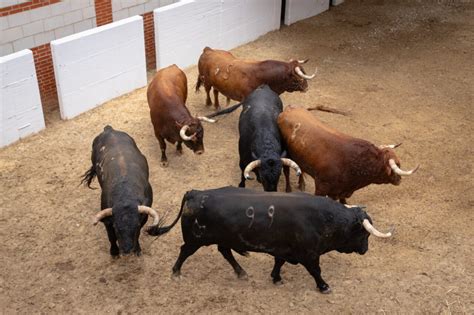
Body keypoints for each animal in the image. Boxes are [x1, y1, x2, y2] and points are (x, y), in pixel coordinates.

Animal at [81, 126, 172, 256]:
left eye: (136, 226)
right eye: (116, 227)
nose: (127, 249)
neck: (125, 194)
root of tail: (109, 129)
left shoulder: (142, 218)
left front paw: (137, 248)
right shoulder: (107, 222)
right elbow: (111, 237)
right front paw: (114, 251)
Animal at [151, 188, 392, 294]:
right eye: (364, 234)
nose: (365, 250)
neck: (324, 219)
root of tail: (195, 192)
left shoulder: (284, 250)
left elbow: (279, 262)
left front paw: (276, 278)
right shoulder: (309, 254)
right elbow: (316, 271)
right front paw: (324, 286)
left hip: (222, 238)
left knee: (225, 251)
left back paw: (241, 272)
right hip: (195, 240)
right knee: (184, 251)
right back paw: (176, 272)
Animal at [278, 106, 418, 204]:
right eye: (397, 165)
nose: (399, 179)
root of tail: (289, 109)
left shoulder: (341, 191)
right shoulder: (321, 187)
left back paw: (301, 184)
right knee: (286, 170)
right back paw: (288, 189)